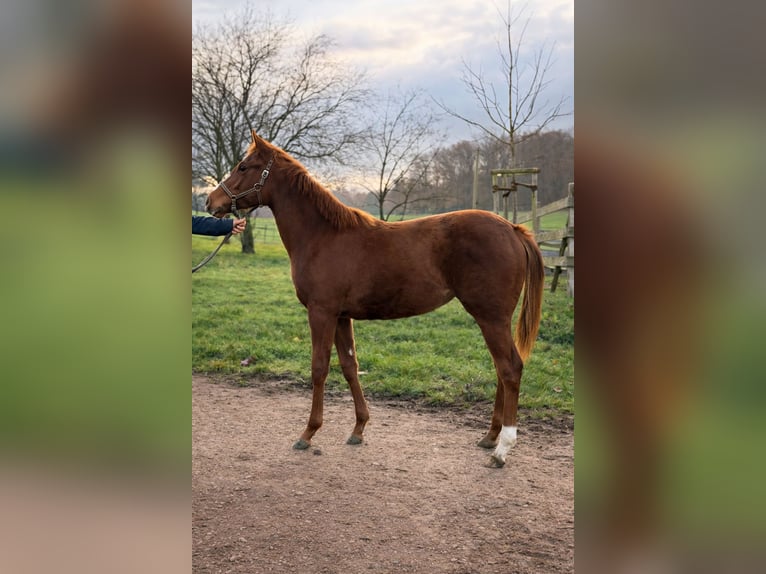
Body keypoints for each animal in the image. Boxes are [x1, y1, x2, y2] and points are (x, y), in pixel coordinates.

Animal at [206, 131, 544, 467]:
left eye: (243, 166)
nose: (211, 201)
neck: (323, 236)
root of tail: (513, 229)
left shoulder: (321, 313)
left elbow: (319, 368)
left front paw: (308, 433)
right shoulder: (342, 316)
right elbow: (349, 366)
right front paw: (359, 428)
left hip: (490, 316)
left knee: (510, 368)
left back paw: (502, 449)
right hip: (494, 319)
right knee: (501, 369)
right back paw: (490, 437)